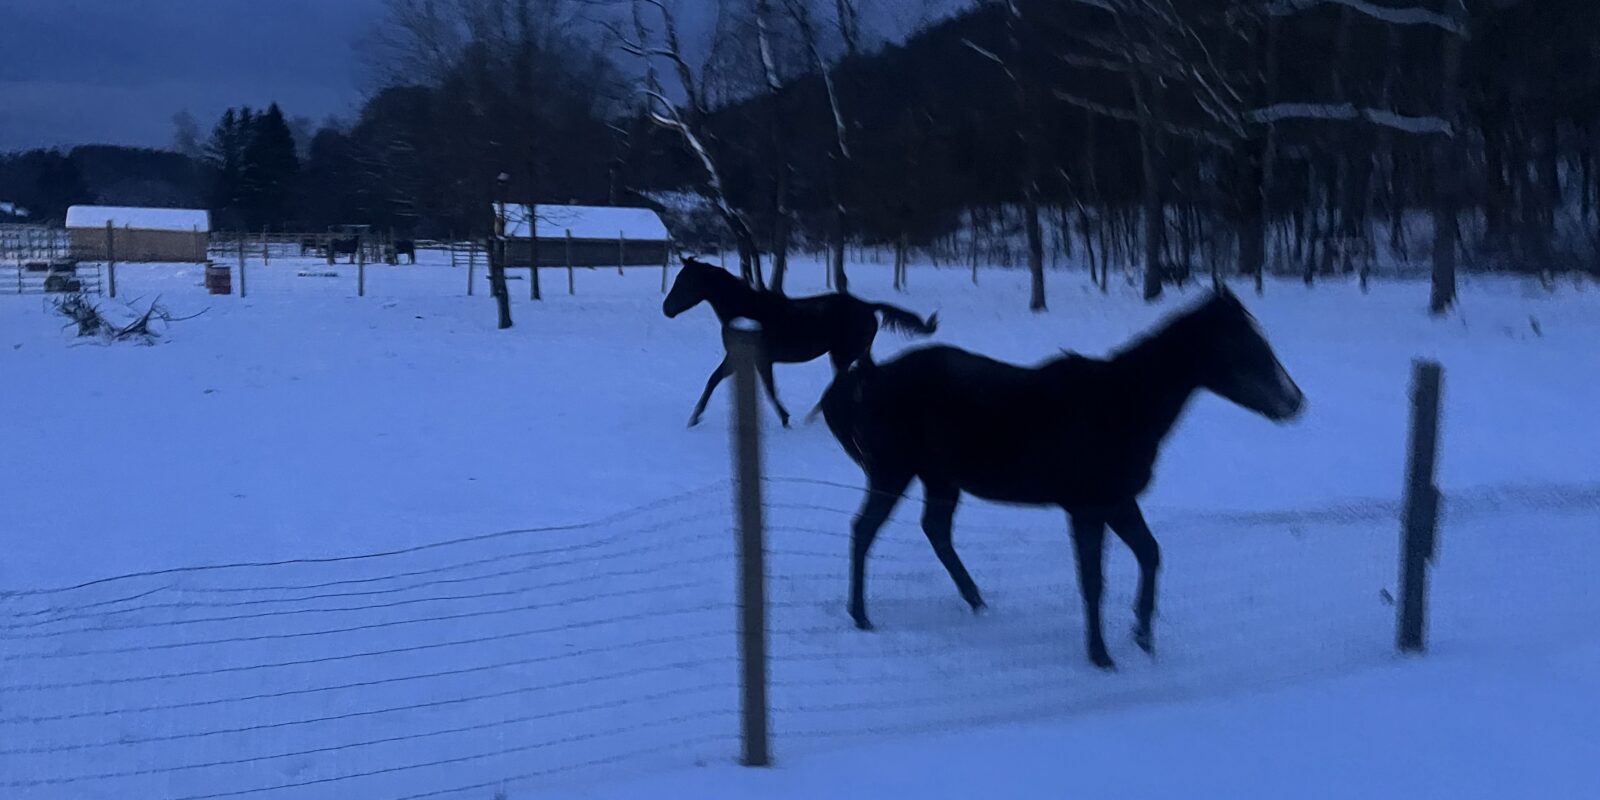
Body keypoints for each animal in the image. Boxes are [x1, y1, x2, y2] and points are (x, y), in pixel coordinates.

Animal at [663, 256, 938, 428]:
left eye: (686, 281)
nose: (667, 309)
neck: (747, 311)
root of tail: (868, 307)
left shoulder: (761, 359)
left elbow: (769, 388)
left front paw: (786, 418)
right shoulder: (739, 357)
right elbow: (714, 379)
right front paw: (694, 418)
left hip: (842, 354)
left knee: (843, 380)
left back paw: (814, 416)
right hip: (858, 352)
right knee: (864, 375)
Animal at [818, 286, 1305, 669]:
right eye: (1244, 346)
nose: (1295, 401)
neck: (1121, 408)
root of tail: (870, 377)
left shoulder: (1118, 502)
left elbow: (1150, 554)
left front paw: (1143, 637)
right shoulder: (1088, 508)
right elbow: (1093, 580)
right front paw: (1101, 656)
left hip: (940, 479)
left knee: (934, 531)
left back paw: (977, 602)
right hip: (893, 472)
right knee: (864, 531)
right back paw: (862, 616)